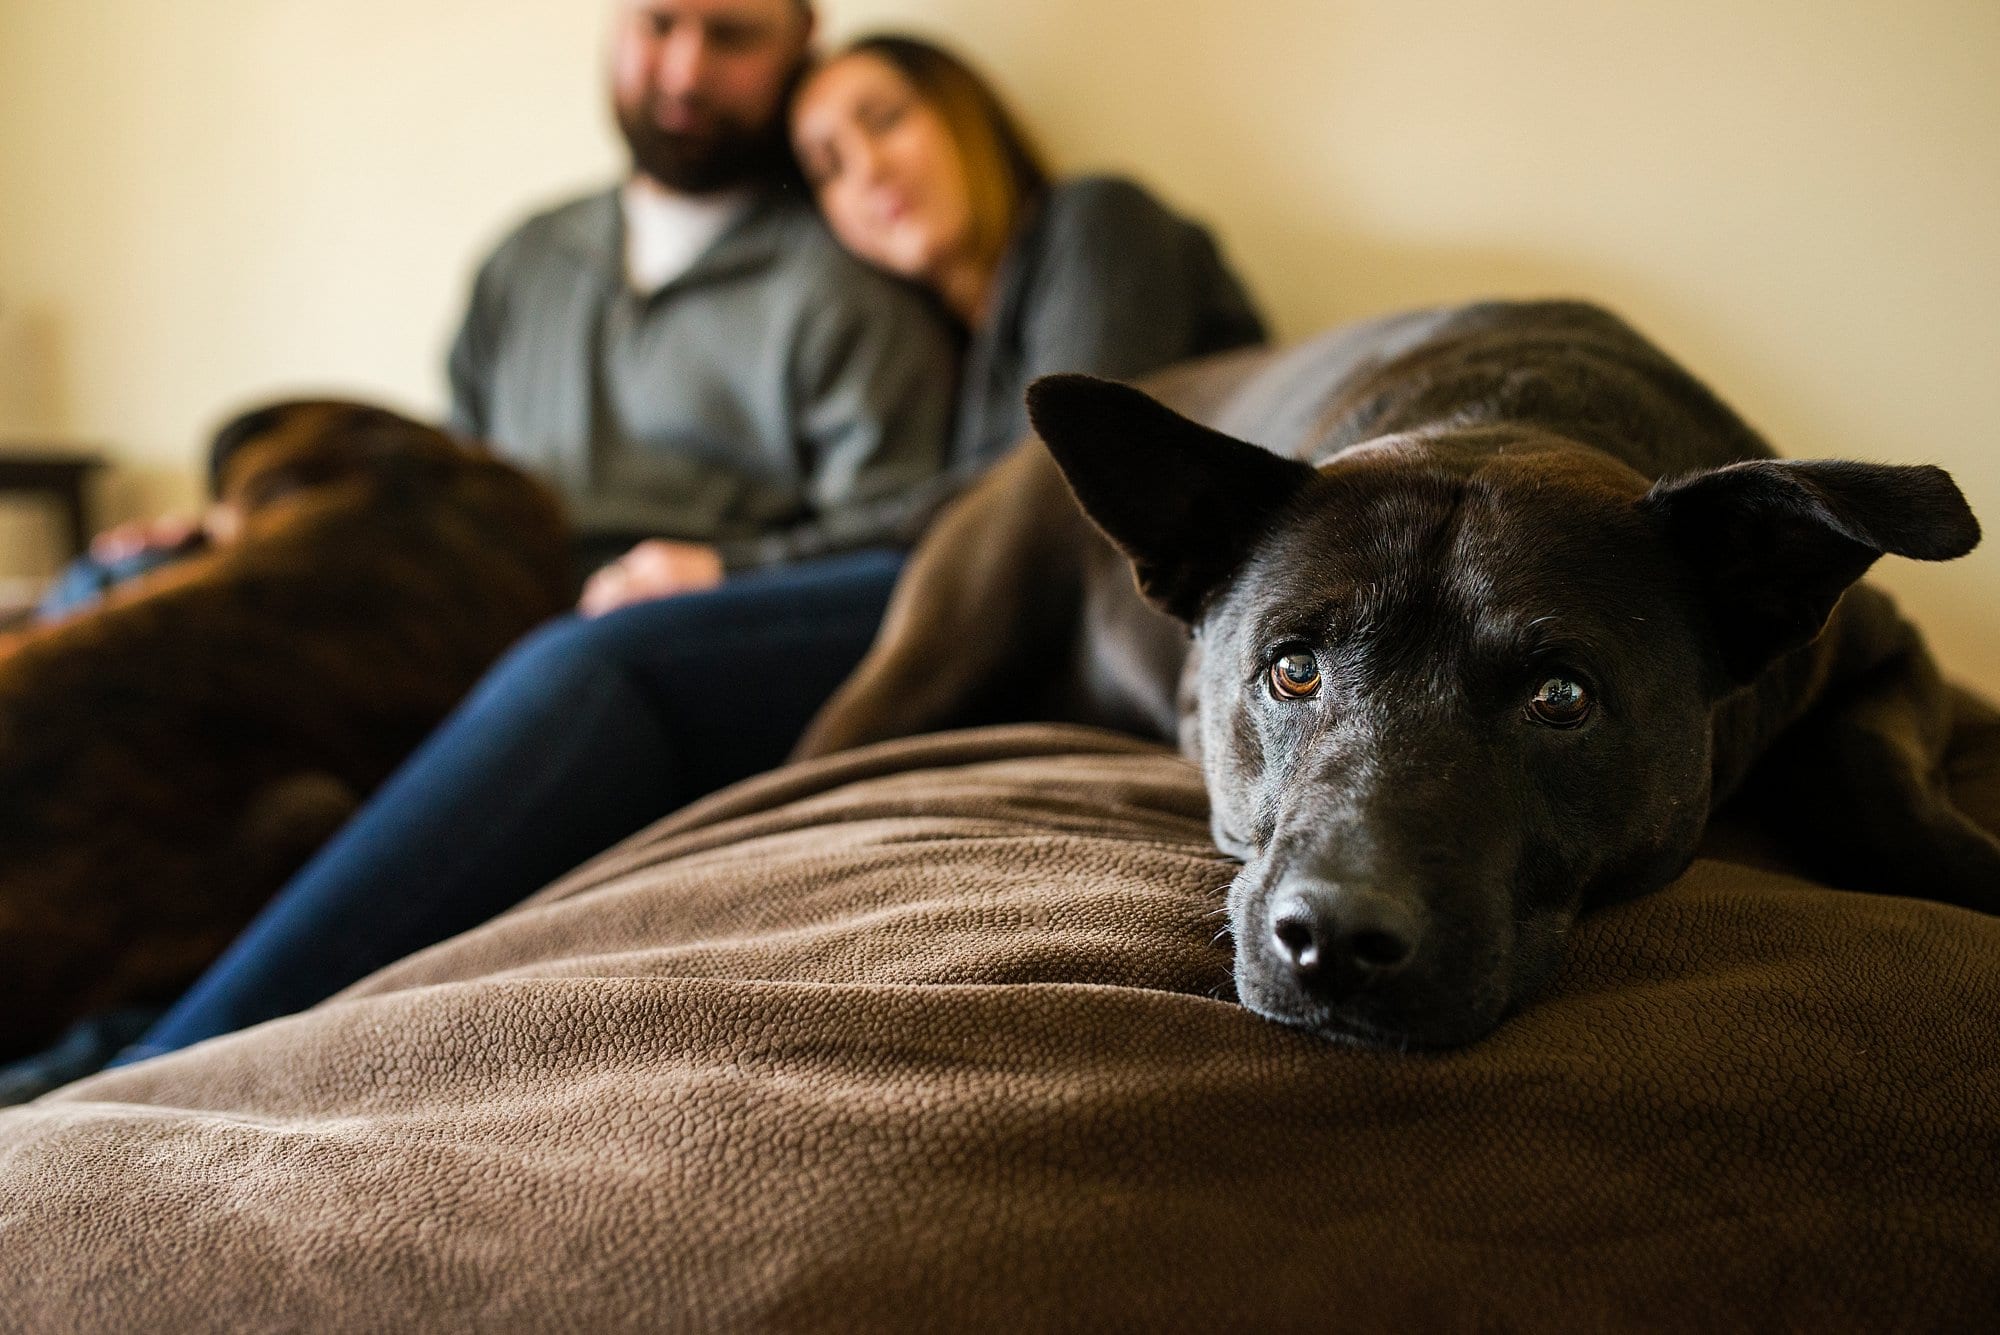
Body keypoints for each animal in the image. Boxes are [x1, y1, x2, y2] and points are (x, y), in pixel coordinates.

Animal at [800, 301, 2000, 1055]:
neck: (1502, 416)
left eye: (1561, 697)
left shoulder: (1889, 655)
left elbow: (1874, 778)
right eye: (1290, 670)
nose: (1333, 941)